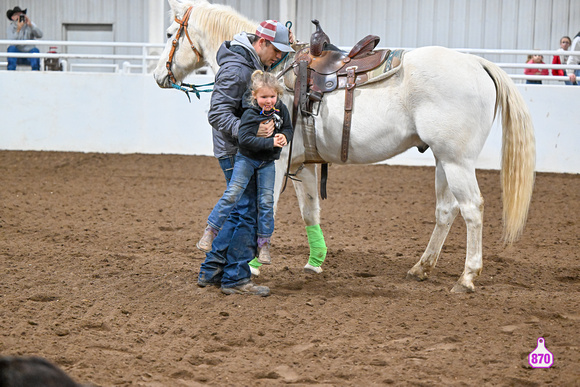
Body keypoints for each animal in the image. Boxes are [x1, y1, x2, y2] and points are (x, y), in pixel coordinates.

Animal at [153, 0, 536, 292]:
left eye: (171, 34)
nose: (158, 75)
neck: (273, 72)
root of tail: (476, 62)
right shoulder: (302, 164)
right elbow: (310, 211)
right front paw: (314, 262)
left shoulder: (275, 160)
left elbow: (266, 208)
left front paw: (255, 264)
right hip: (443, 161)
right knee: (446, 211)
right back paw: (421, 268)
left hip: (457, 161)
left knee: (472, 209)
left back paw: (467, 277)